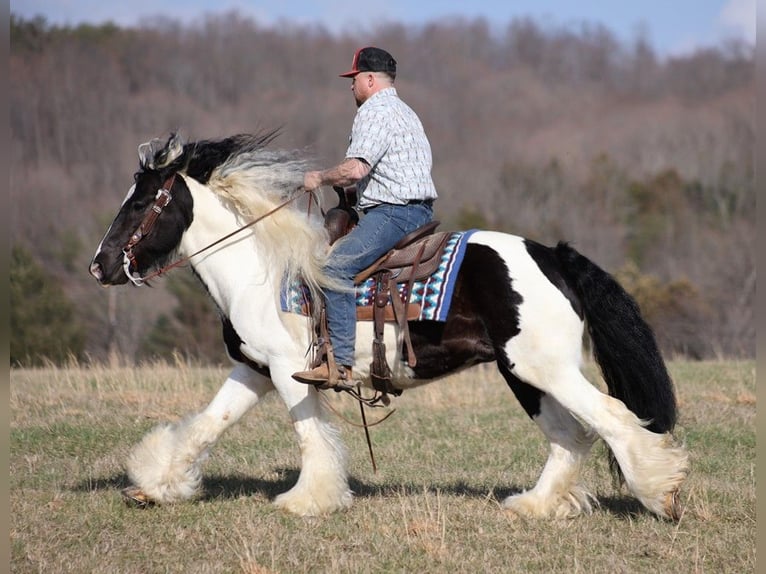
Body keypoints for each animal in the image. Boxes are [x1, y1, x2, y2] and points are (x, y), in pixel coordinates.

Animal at [88, 130, 688, 520]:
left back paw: (662, 493)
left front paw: (308, 500)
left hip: (544, 369)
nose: (101, 266)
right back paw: (536, 505)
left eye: (140, 203)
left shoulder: (287, 370)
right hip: (523, 374)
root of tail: (553, 255)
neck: (261, 269)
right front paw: (155, 486)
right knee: (569, 436)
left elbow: (309, 436)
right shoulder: (254, 368)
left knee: (611, 418)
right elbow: (208, 425)